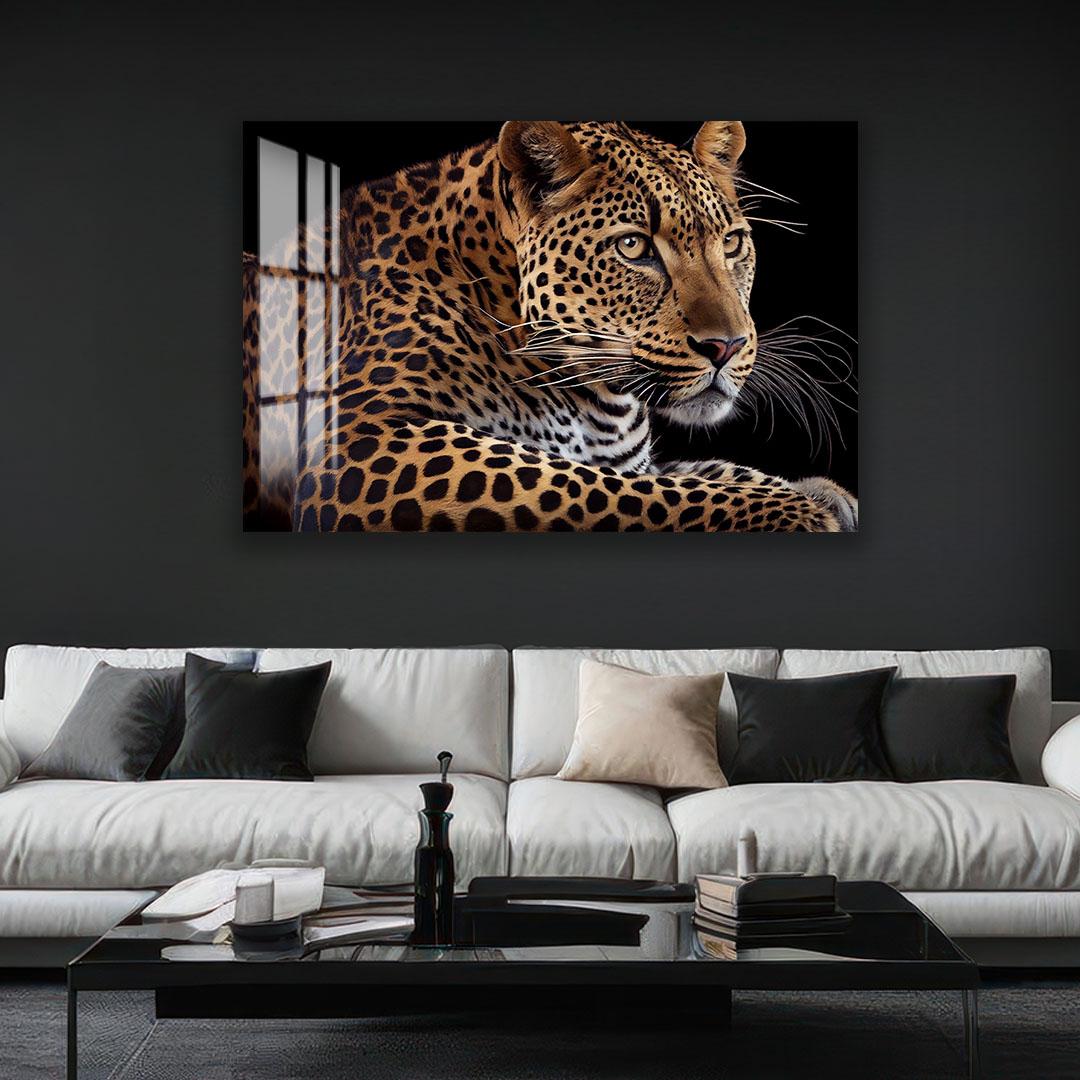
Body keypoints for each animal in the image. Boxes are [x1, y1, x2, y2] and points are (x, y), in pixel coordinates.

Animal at [242, 121, 858, 531]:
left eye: (731, 244)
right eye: (633, 247)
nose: (727, 346)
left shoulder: (634, 456)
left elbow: (678, 472)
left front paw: (822, 494)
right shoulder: (356, 441)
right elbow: (591, 484)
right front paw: (794, 511)